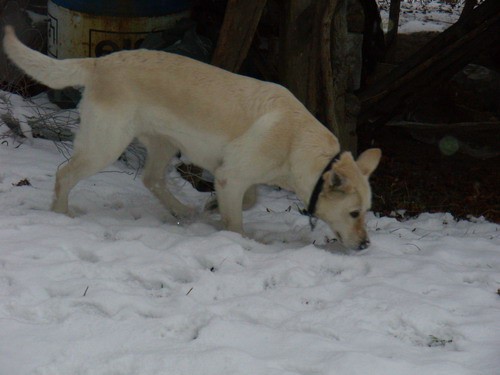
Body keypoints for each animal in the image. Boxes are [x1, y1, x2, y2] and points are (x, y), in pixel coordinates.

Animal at [3, 25, 380, 250]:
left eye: (366, 212)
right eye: (353, 213)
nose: (365, 245)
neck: (296, 141)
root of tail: (101, 62)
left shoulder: (232, 174)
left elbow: (250, 198)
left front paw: (211, 206)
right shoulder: (232, 175)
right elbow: (237, 219)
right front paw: (237, 238)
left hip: (164, 143)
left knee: (151, 179)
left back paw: (182, 209)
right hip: (105, 145)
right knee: (64, 174)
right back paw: (61, 213)